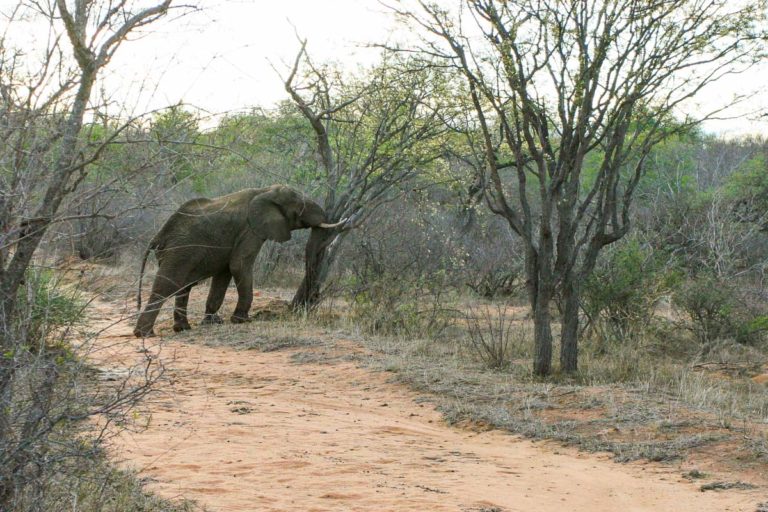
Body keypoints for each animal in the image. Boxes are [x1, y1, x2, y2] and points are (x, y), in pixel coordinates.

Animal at [134, 186, 344, 338]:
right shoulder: (250, 230)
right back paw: (144, 334)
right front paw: (242, 320)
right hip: (179, 251)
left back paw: (182, 328)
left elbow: (224, 273)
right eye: (300, 208)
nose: (314, 297)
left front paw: (213, 322)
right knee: (166, 285)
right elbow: (239, 266)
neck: (265, 190)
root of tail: (157, 237)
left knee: (184, 287)